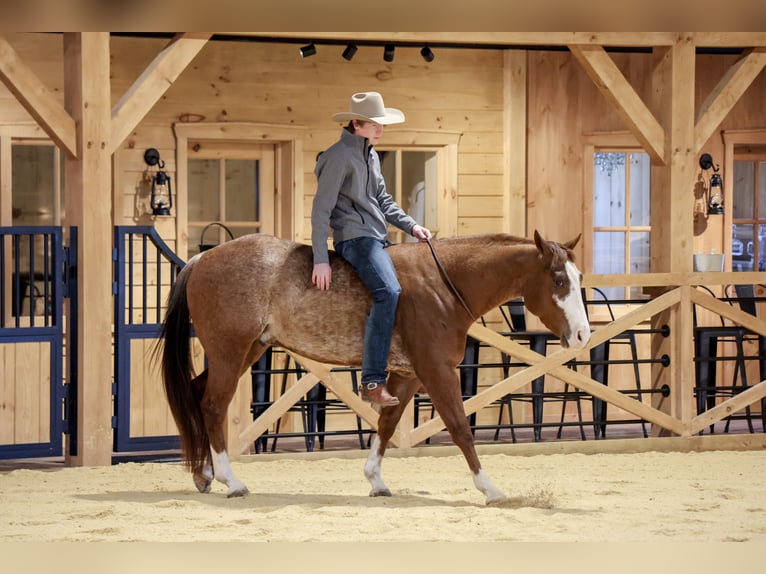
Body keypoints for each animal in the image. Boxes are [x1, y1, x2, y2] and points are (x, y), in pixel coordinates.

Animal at [158, 230, 590, 505]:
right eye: (557, 280)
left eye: (577, 277)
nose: (583, 334)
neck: (443, 285)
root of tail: (203, 257)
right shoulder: (436, 371)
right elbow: (459, 427)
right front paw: (490, 489)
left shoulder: (408, 375)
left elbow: (387, 423)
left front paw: (376, 480)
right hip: (230, 352)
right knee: (213, 405)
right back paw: (231, 481)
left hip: (246, 350)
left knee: (198, 395)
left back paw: (204, 474)